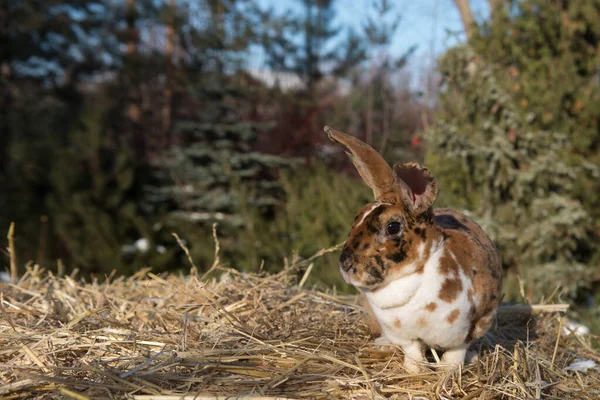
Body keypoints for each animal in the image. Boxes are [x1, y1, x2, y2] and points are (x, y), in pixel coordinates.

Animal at [326, 126, 504, 374]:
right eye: (357, 217)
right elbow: (414, 353)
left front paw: (447, 372)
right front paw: (415, 371)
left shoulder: (467, 330)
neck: (412, 275)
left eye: (393, 227)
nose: (345, 264)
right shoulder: (405, 336)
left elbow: (455, 354)